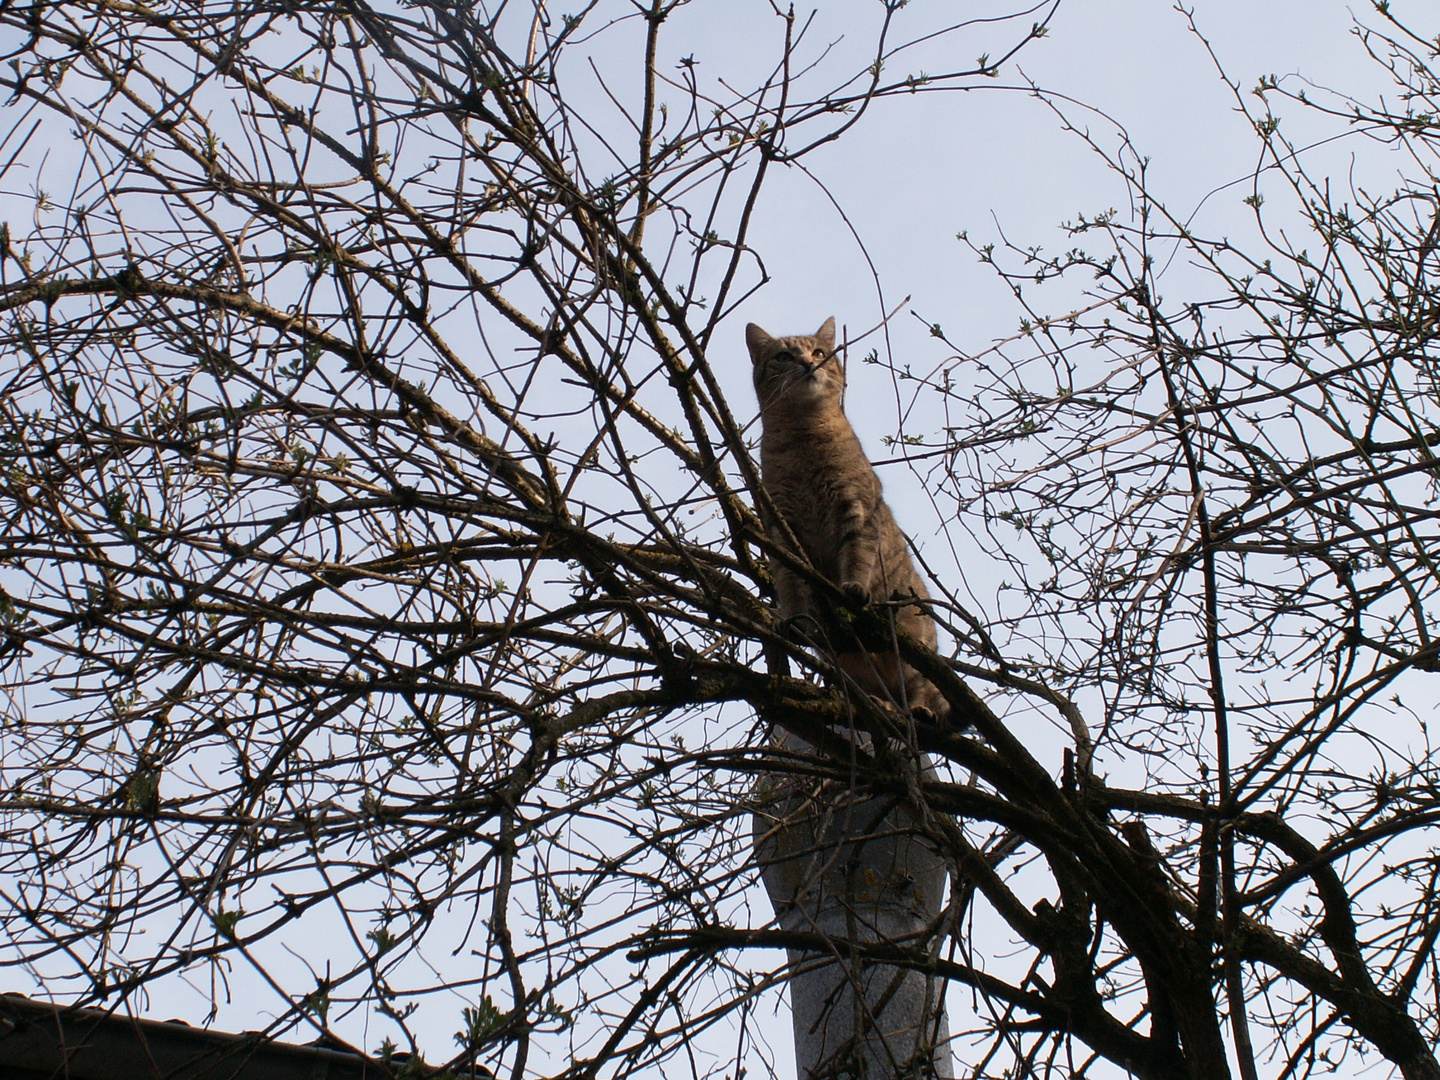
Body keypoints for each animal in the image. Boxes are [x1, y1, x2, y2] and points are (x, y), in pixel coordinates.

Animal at [748, 316, 950, 722]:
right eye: (783, 356)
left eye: (819, 351)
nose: (807, 363)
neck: (803, 436)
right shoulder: (781, 528)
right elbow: (789, 583)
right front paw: (792, 616)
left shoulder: (856, 508)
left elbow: (857, 557)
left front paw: (852, 587)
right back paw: (874, 702)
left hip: (917, 658)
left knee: (919, 692)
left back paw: (919, 710)